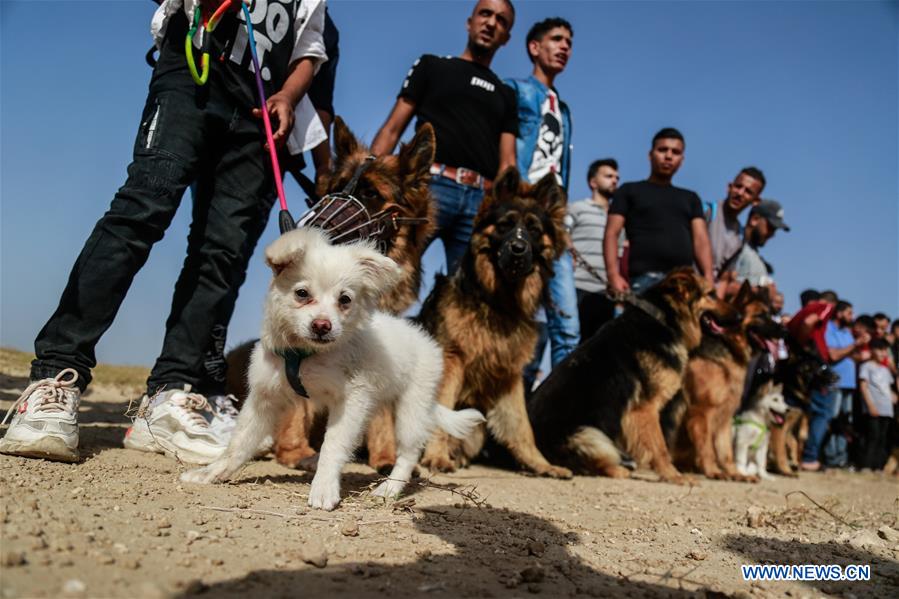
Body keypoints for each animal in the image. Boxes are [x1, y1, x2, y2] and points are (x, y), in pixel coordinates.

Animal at [181, 227, 486, 508]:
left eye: (345, 300)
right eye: (302, 293)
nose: (322, 325)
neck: (305, 355)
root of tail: (424, 340)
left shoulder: (352, 400)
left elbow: (334, 445)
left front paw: (324, 487)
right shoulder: (264, 399)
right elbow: (238, 444)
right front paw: (211, 472)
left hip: (411, 408)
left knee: (408, 454)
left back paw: (389, 488)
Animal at [225, 117, 436, 472]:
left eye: (371, 193)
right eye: (333, 188)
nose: (311, 233)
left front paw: (385, 456)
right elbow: (295, 401)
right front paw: (295, 450)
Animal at [418, 168, 572, 478]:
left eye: (534, 229)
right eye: (504, 225)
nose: (518, 248)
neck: (497, 303)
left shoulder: (509, 375)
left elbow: (522, 426)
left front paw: (540, 464)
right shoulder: (452, 359)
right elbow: (442, 409)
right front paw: (437, 456)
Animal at [528, 270, 724, 486]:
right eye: (712, 294)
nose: (739, 316)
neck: (663, 318)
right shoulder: (645, 409)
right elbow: (660, 447)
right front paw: (674, 476)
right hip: (589, 434)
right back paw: (619, 470)